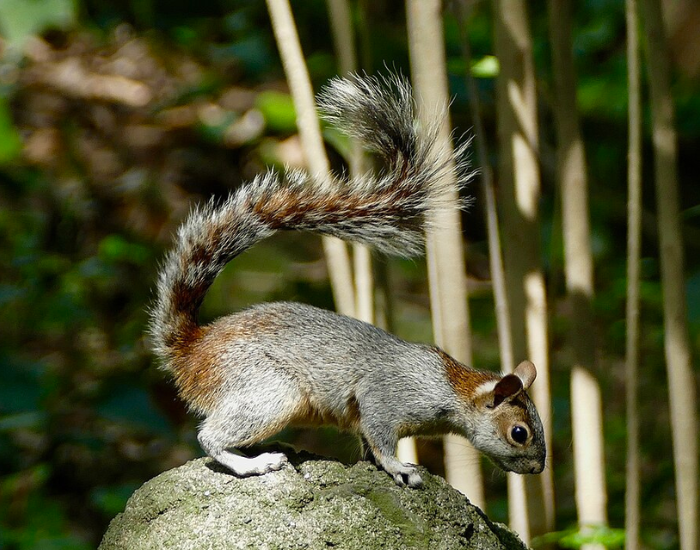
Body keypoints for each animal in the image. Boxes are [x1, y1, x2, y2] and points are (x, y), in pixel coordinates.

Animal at [149, 74, 546, 488]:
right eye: (519, 433)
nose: (538, 467)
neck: (453, 387)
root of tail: (192, 351)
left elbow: (367, 442)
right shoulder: (385, 398)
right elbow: (380, 437)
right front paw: (399, 467)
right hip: (269, 390)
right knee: (210, 436)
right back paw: (253, 463)